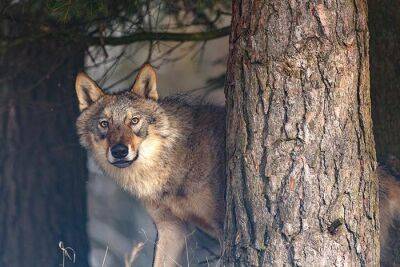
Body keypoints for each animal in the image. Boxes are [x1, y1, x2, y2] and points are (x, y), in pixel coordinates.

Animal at [76, 64, 400, 266]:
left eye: (134, 121)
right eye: (104, 124)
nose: (119, 151)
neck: (171, 166)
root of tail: (385, 169)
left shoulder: (224, 228)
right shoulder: (171, 228)